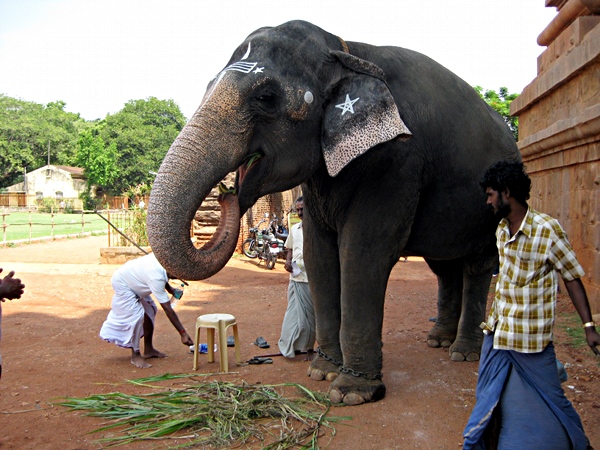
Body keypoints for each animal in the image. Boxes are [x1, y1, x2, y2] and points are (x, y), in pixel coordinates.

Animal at [146, 21, 520, 406]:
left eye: (266, 98)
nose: (226, 193)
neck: (346, 50)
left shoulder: (396, 161)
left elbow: (362, 254)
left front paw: (352, 393)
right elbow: (318, 255)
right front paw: (321, 372)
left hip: (492, 208)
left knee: (478, 264)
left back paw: (463, 352)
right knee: (444, 267)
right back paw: (439, 340)